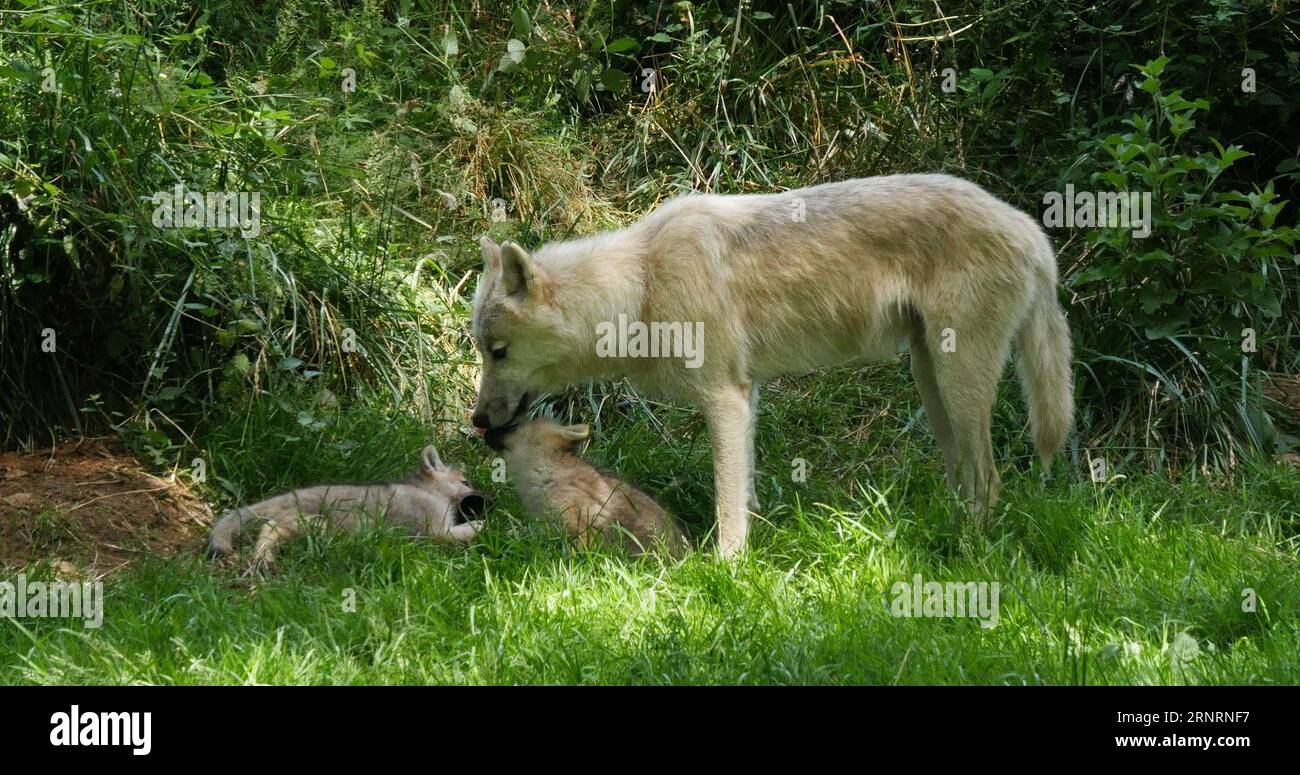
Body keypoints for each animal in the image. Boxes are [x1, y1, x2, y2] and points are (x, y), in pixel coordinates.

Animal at [473, 174, 1071, 556]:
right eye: (483, 350)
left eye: (498, 352)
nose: (477, 422)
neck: (641, 287)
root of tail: (1031, 229)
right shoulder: (746, 395)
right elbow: (747, 491)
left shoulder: (724, 400)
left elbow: (727, 505)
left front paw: (727, 569)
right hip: (932, 384)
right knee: (964, 473)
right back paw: (943, 531)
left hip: (958, 383)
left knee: (990, 479)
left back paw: (971, 547)